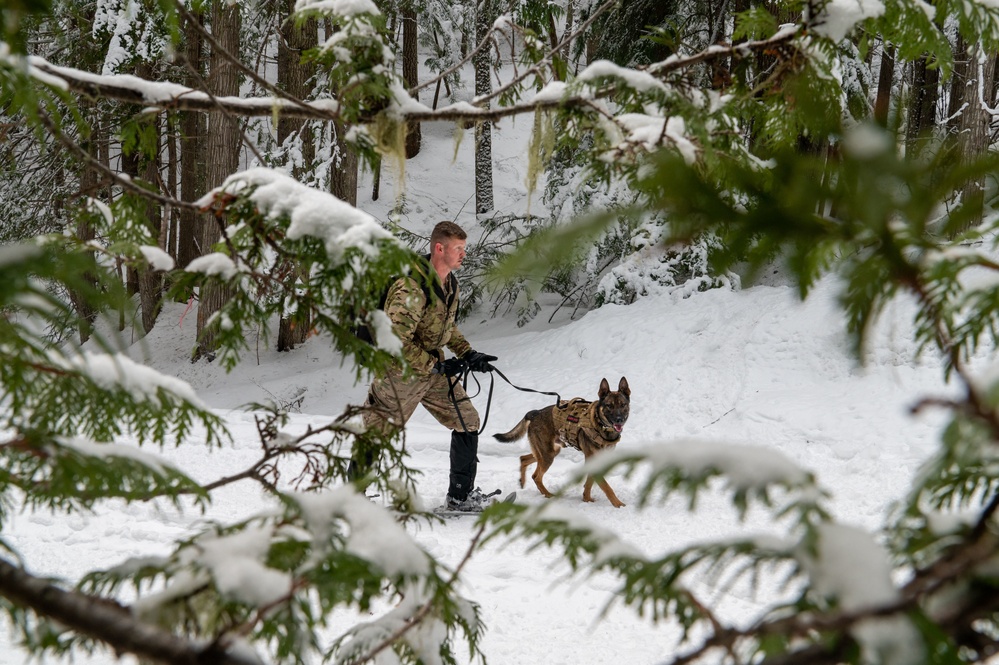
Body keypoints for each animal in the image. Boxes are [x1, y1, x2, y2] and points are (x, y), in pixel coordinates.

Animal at [494, 376, 632, 506]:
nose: (619, 419)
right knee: (536, 477)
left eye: (623, 405)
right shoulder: (592, 459)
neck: (602, 426)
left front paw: (586, 499)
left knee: (524, 459)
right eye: (609, 406)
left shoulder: (598, 460)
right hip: (548, 455)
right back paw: (548, 495)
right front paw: (618, 504)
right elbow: (606, 487)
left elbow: (589, 482)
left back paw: (523, 483)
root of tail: (535, 413)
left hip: (548, 452)